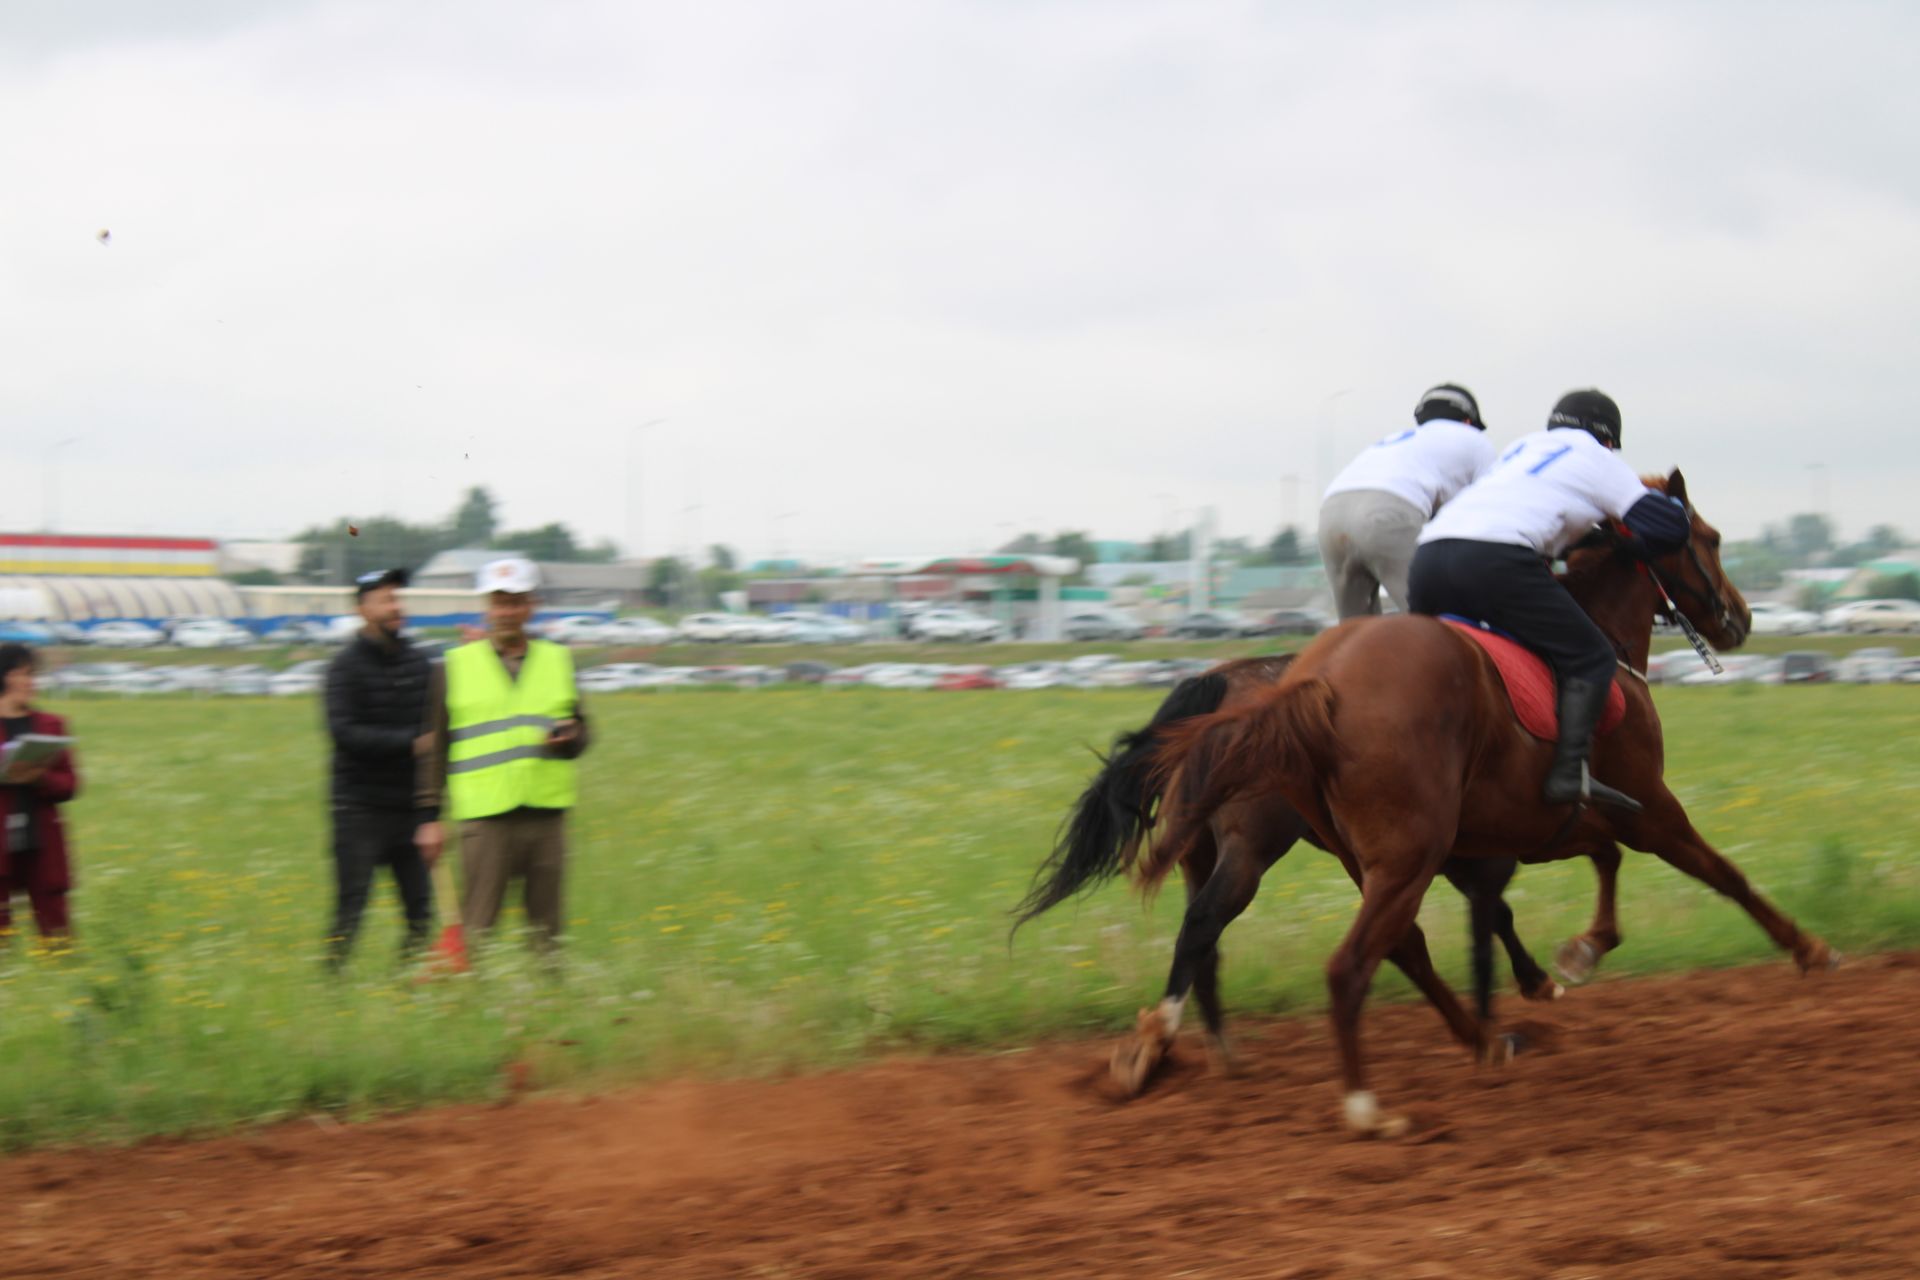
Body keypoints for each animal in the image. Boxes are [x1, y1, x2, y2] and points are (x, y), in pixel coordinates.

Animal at [1006, 656, 1589, 1097]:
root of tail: (1222, 681)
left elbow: (1485, 920)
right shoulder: (1466, 858)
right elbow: (1488, 924)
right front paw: (1518, 1004)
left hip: (1201, 850)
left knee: (1205, 941)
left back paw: (1218, 1052)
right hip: (1250, 848)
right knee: (1204, 923)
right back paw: (1159, 1041)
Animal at [1144, 475, 1835, 1136]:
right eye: (1711, 539)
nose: (1741, 616)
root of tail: (1314, 684)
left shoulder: (1537, 828)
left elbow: (1586, 868)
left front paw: (1575, 956)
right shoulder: (1648, 811)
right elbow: (1722, 873)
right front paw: (1808, 949)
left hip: (1353, 858)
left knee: (1392, 944)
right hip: (1370, 854)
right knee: (1332, 959)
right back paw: (1365, 1104)